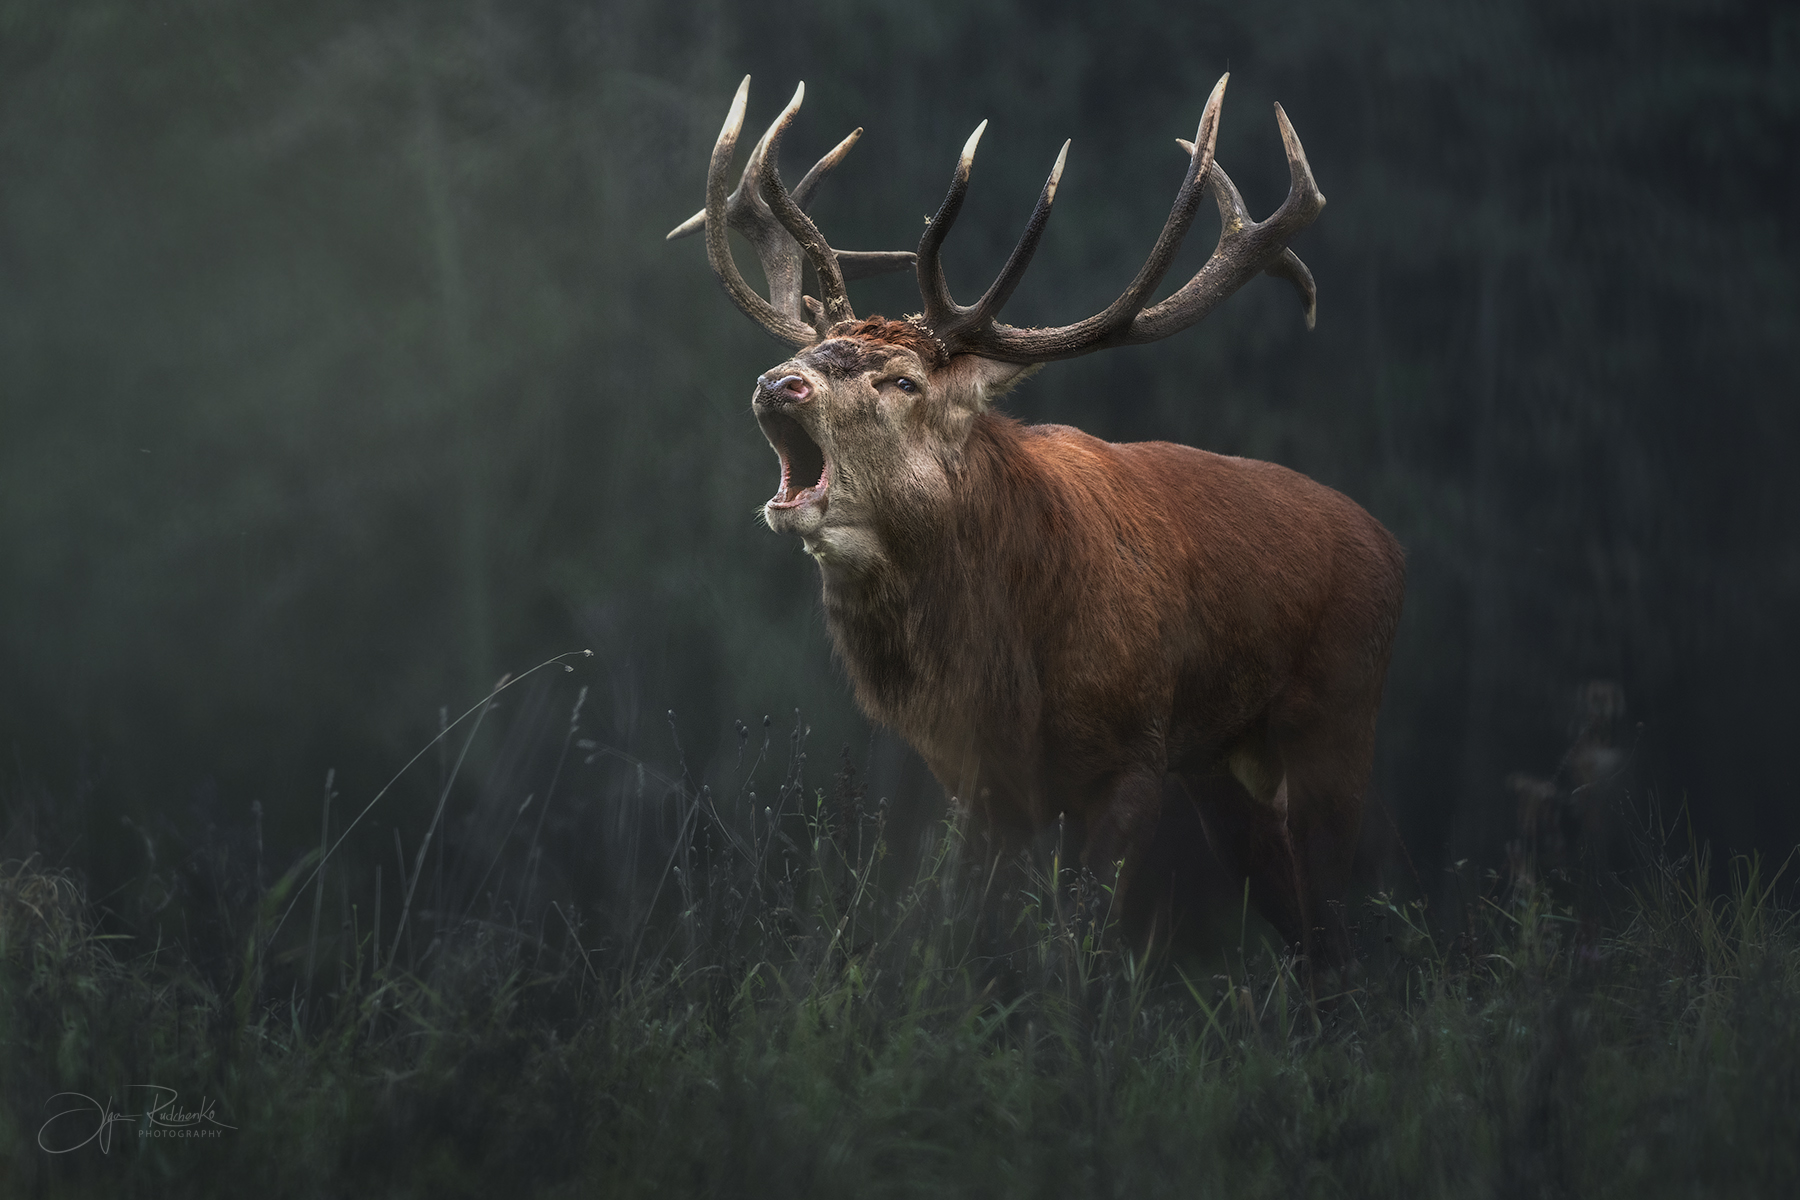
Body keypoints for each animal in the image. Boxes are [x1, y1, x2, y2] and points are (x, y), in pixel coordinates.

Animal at [676, 72, 1404, 964]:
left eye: (904, 380)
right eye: (816, 350)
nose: (780, 382)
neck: (1015, 669)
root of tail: (1391, 547)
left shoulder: (1134, 754)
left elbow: (1077, 946)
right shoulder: (981, 782)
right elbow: (966, 933)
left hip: (1340, 708)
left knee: (1331, 914)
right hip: (1222, 761)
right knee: (1298, 918)